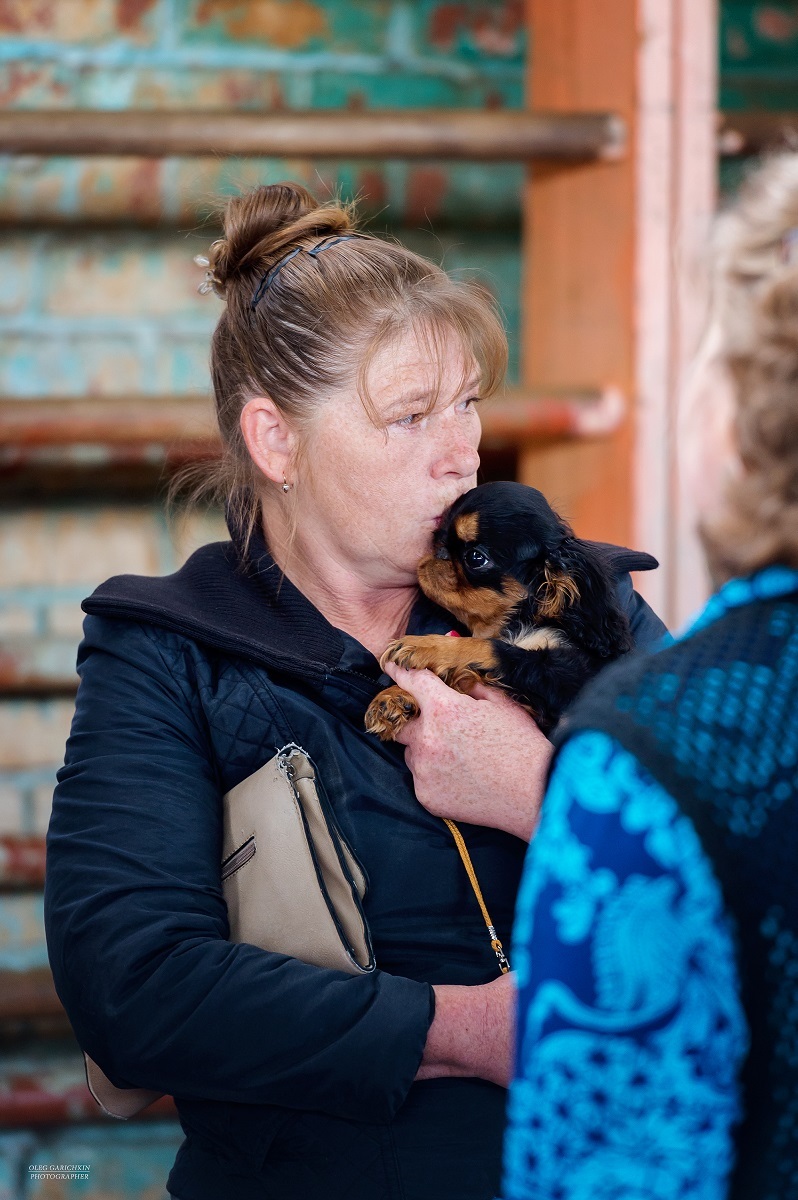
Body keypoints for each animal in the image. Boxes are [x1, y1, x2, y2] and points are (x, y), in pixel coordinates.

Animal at [364, 477, 633, 739]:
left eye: (475, 558)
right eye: (437, 538)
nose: (439, 552)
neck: (510, 622)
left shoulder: (567, 675)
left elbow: (491, 648)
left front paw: (426, 646)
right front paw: (394, 697)